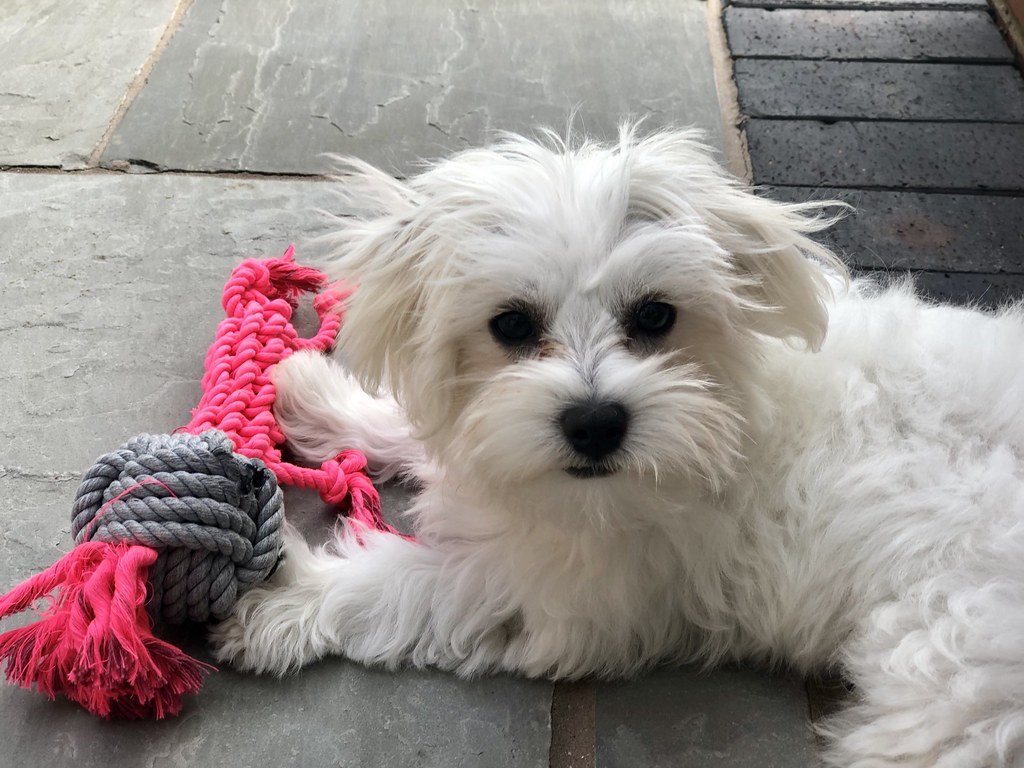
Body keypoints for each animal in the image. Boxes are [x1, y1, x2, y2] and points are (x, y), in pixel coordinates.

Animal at [211, 129, 1024, 765]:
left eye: (656, 316)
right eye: (511, 324)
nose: (595, 423)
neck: (723, 415)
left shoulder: (561, 586)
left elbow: (401, 585)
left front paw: (284, 599)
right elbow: (428, 430)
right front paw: (315, 393)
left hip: (956, 689)